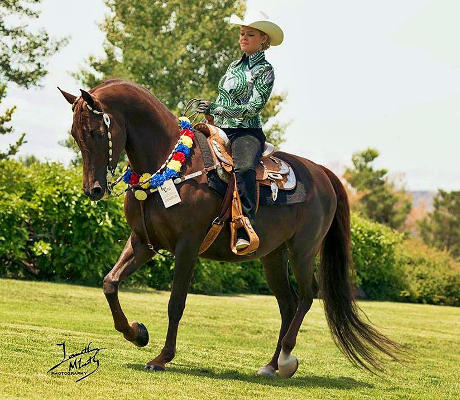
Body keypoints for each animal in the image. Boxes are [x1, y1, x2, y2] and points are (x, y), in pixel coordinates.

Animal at [60, 79, 398, 378]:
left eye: (96, 131)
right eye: (75, 134)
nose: (93, 189)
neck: (170, 166)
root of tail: (323, 174)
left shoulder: (187, 246)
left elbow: (175, 303)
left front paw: (161, 358)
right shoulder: (143, 242)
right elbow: (110, 282)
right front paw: (137, 333)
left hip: (303, 251)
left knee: (307, 296)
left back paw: (287, 359)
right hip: (273, 256)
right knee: (287, 304)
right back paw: (270, 365)